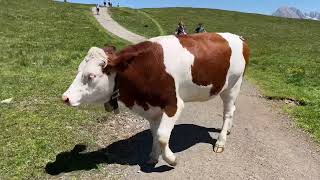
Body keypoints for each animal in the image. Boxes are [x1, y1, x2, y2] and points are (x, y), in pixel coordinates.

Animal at [62, 32, 250, 166]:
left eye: (91, 76)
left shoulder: (174, 104)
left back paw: (220, 142)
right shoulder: (151, 108)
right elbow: (154, 133)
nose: (65, 97)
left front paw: (171, 159)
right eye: (79, 70)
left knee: (228, 112)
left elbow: (162, 135)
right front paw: (153, 156)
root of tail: (238, 37)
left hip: (233, 85)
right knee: (232, 110)